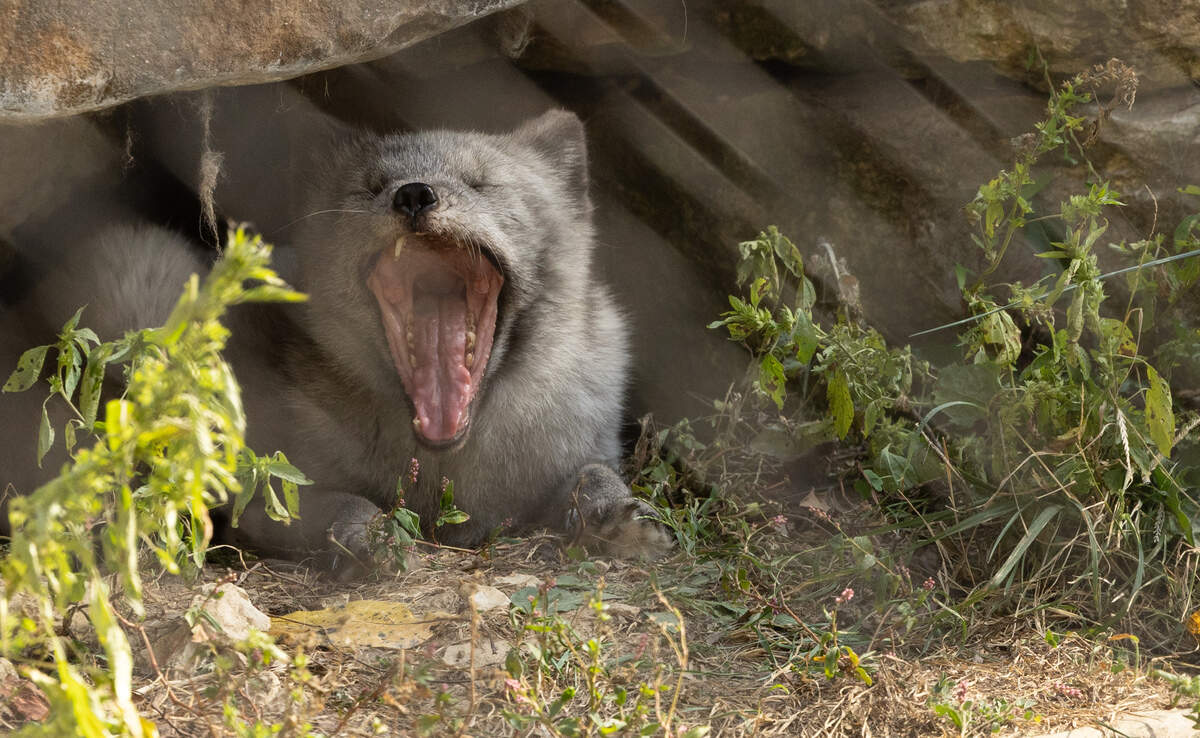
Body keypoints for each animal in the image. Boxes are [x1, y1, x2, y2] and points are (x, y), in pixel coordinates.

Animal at [221, 109, 672, 570]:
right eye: (371, 186)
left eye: (480, 183)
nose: (414, 194)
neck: (443, 467)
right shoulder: (261, 499)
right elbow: (338, 502)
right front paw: (373, 534)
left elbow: (593, 473)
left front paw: (616, 513)